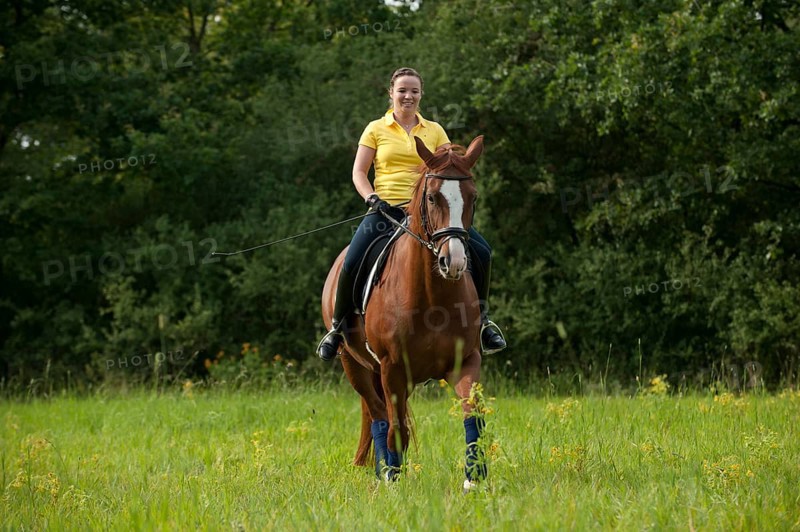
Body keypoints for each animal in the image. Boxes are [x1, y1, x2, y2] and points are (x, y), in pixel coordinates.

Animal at [321, 135, 488, 489]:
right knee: (378, 415)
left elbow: (473, 414)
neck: (432, 299)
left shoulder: (465, 361)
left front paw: (474, 478)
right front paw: (393, 479)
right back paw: (383, 468)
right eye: (432, 196)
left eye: (473, 197)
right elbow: (395, 425)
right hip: (353, 365)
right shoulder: (392, 368)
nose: (453, 262)